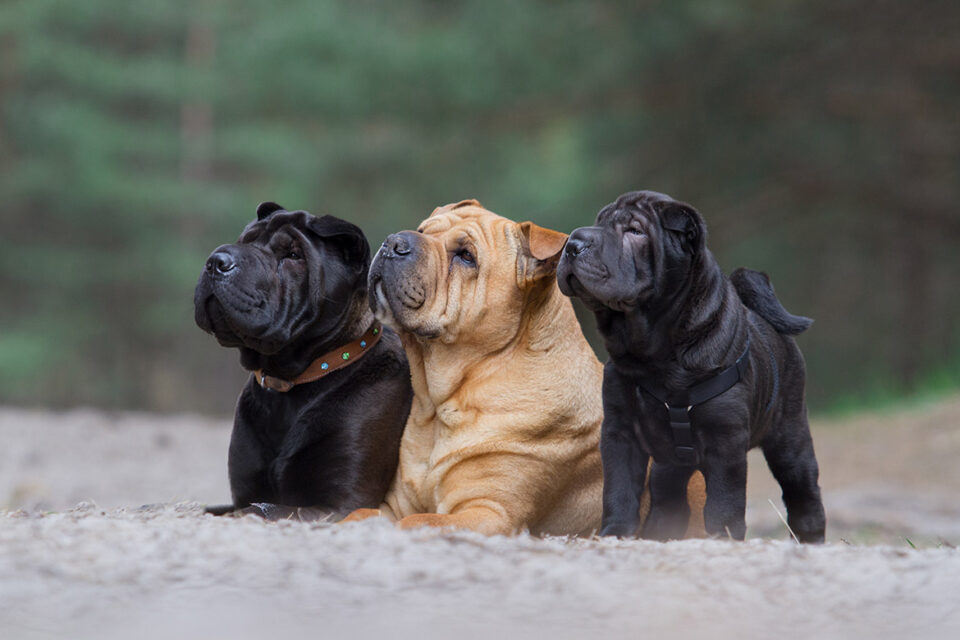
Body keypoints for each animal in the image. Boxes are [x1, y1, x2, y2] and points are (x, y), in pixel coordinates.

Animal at [195, 202, 412, 516]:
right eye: (244, 241)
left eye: (293, 255)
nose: (216, 261)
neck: (288, 385)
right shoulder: (244, 492)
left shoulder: (342, 503)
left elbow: (258, 509)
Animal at [556, 191, 824, 544]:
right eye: (599, 222)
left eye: (635, 231)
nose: (573, 243)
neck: (654, 353)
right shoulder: (619, 430)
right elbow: (619, 490)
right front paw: (615, 533)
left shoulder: (725, 437)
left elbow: (724, 499)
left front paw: (724, 536)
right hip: (669, 464)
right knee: (669, 501)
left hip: (789, 439)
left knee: (803, 491)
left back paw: (811, 537)